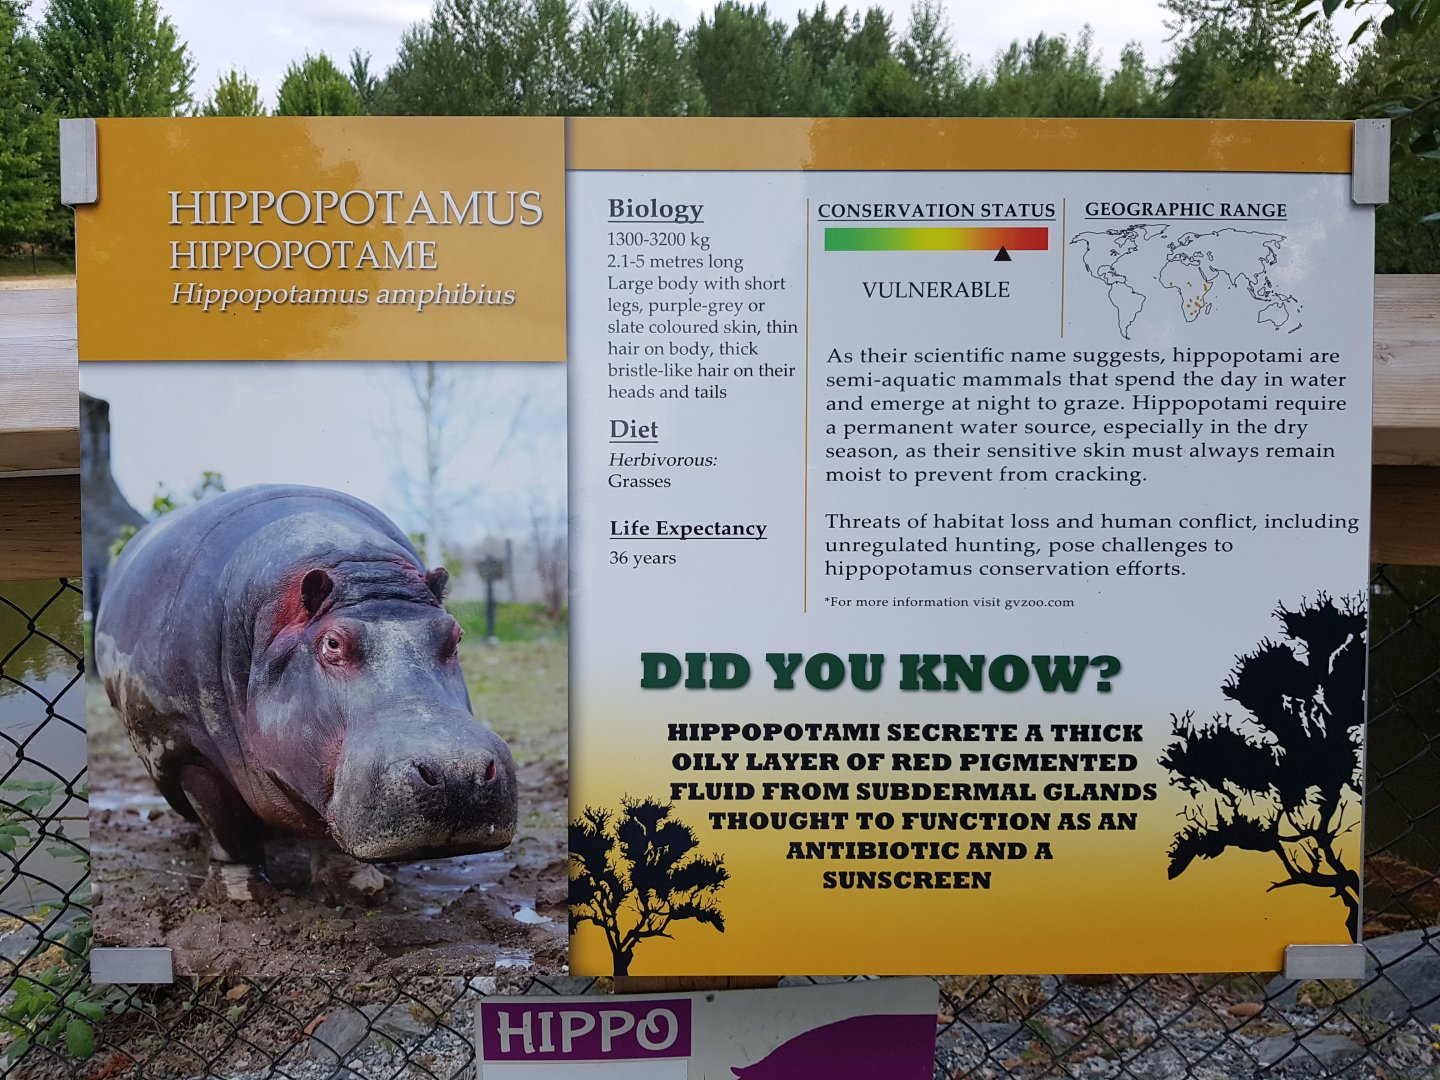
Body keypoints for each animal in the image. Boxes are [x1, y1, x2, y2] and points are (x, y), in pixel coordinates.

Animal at [94, 484, 518, 901]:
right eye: (332, 642)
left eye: (455, 635)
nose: (457, 774)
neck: (352, 561)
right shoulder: (185, 747)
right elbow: (229, 827)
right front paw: (242, 896)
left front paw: (359, 888)